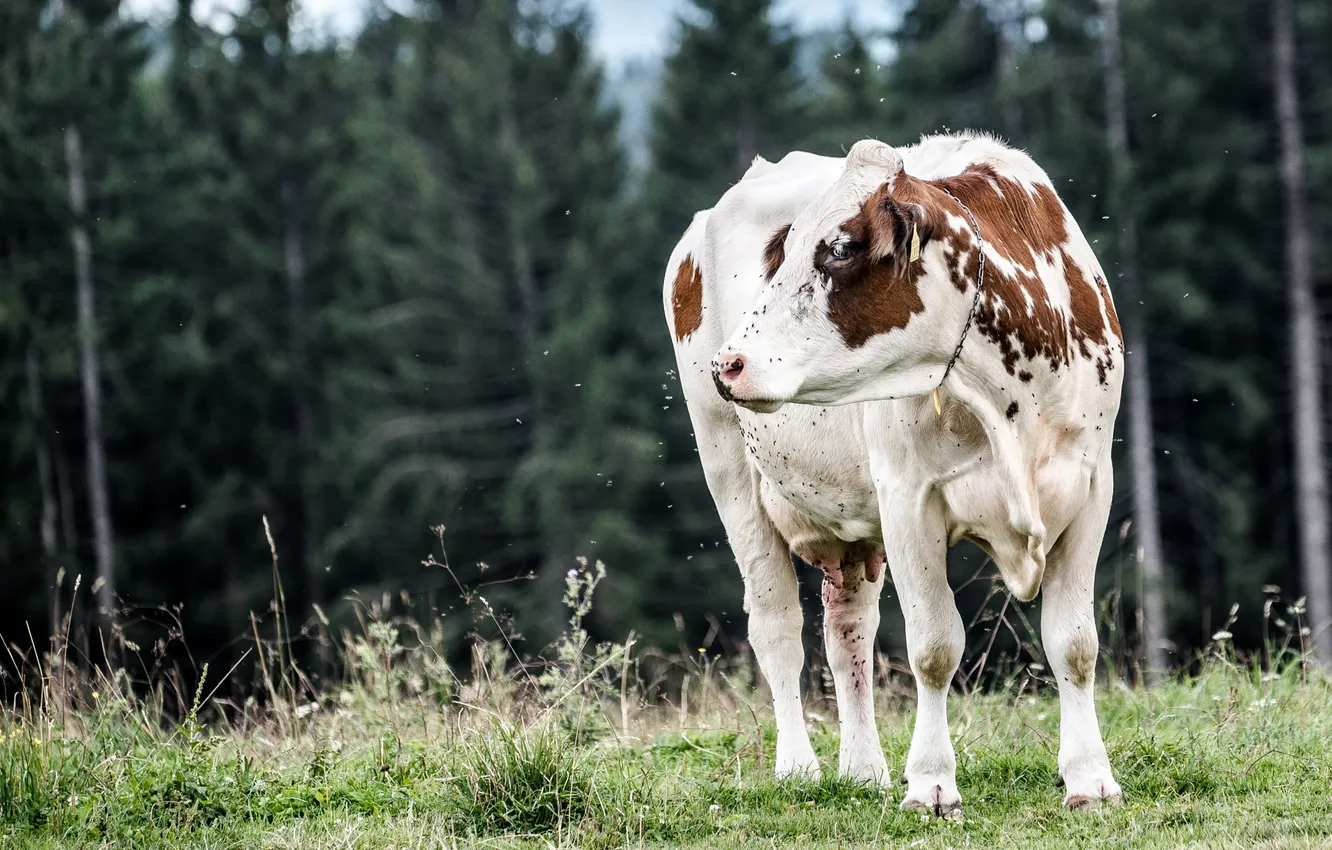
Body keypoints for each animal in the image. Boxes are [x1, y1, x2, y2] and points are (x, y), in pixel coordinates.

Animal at [663, 132, 1124, 819]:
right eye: (786, 251)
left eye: (840, 248)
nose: (731, 363)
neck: (1008, 399)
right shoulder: (909, 498)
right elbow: (934, 647)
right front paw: (931, 784)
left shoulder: (1092, 486)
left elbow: (1074, 642)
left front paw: (1090, 779)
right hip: (728, 469)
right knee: (777, 629)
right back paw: (799, 768)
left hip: (855, 524)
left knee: (848, 633)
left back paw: (864, 770)